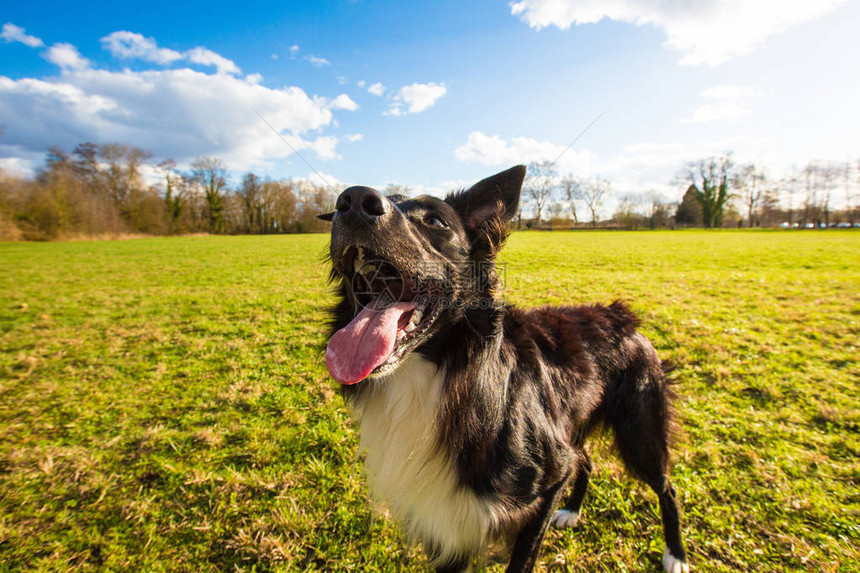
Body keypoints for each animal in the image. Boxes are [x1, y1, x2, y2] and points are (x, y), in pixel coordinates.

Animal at [320, 163, 688, 568]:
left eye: (435, 221)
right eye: (340, 208)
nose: (352, 200)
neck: (446, 372)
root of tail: (621, 315)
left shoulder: (547, 483)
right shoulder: (447, 522)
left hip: (640, 431)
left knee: (667, 488)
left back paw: (676, 554)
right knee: (587, 461)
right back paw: (573, 511)